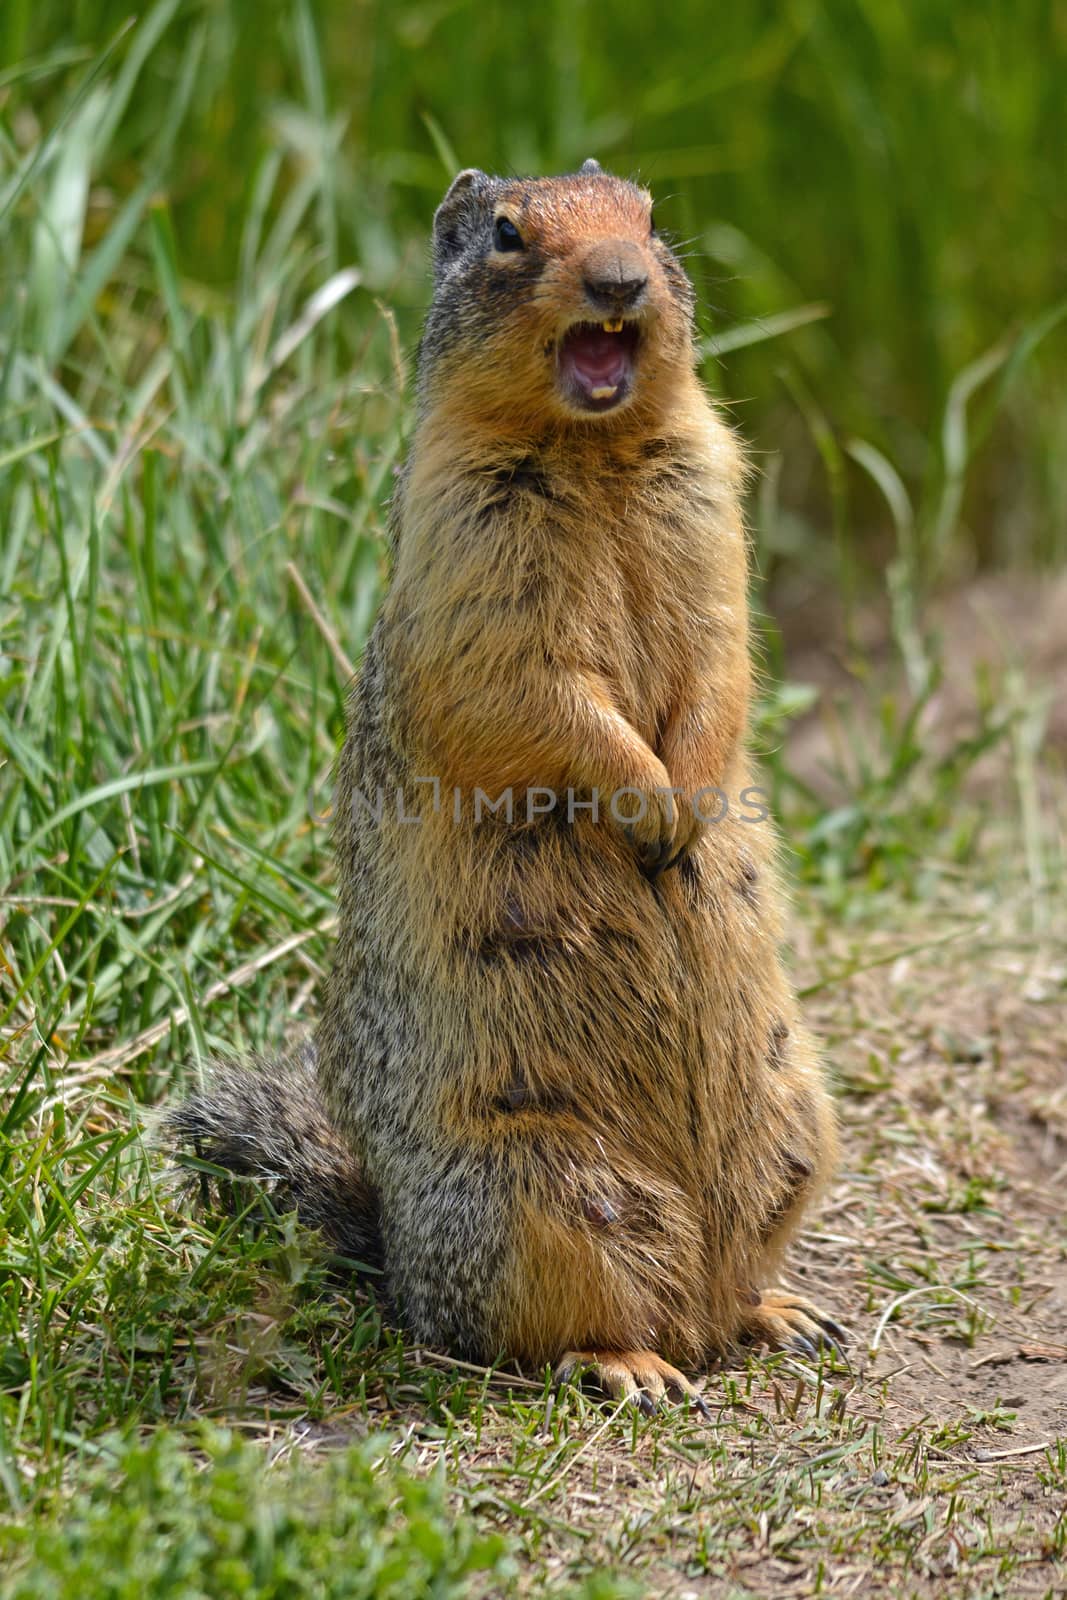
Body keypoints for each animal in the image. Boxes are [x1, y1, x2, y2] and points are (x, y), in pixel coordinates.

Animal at [168, 159, 844, 1414]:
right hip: (533, 1184)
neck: (593, 448)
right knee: (530, 1330)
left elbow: (720, 661)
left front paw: (688, 801)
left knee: (724, 1286)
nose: (620, 279)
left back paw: (780, 1311)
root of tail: (393, 1255)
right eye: (505, 233)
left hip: (793, 1122)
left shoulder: (708, 508)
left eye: (647, 218)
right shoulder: (470, 543)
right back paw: (629, 1365)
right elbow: (536, 689)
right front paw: (647, 807)